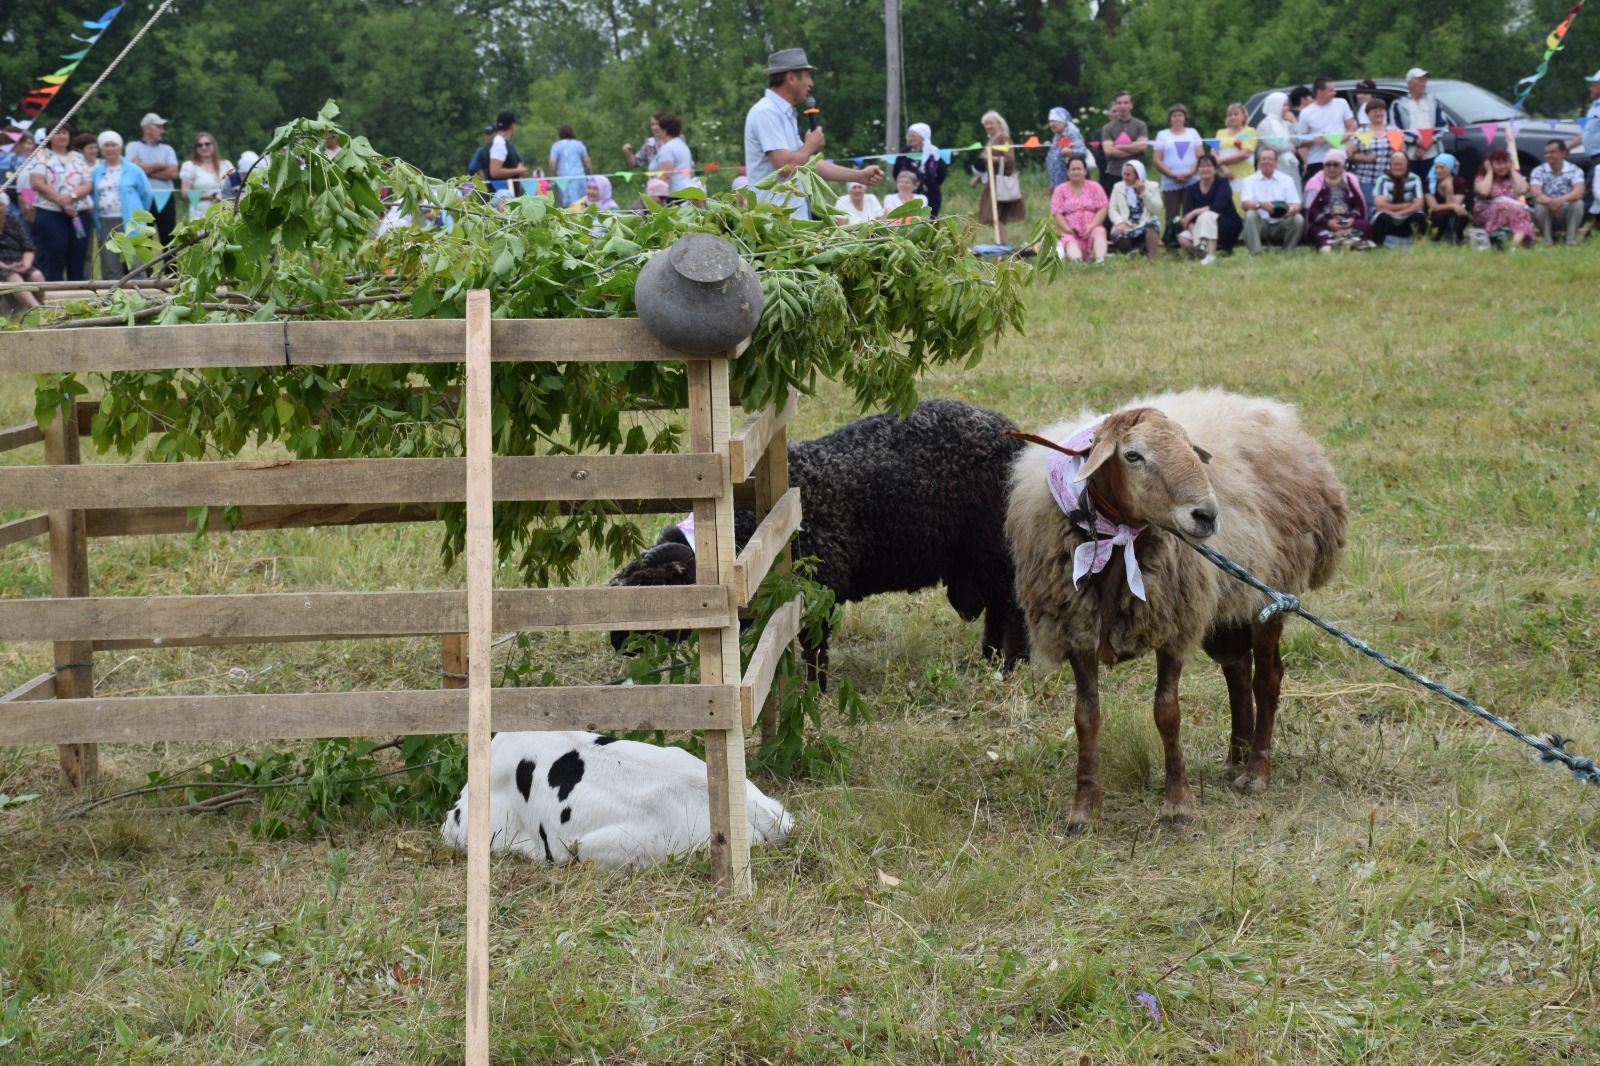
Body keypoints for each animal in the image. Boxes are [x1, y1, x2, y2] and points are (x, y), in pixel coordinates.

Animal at [604, 393, 1030, 675]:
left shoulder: (821, 587)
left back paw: (1012, 662)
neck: (749, 529)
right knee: (999, 605)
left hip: (996, 548)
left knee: (1012, 605)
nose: (615, 642)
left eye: (650, 594)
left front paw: (815, 690)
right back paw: (991, 656)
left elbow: (814, 650)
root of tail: (1010, 434)